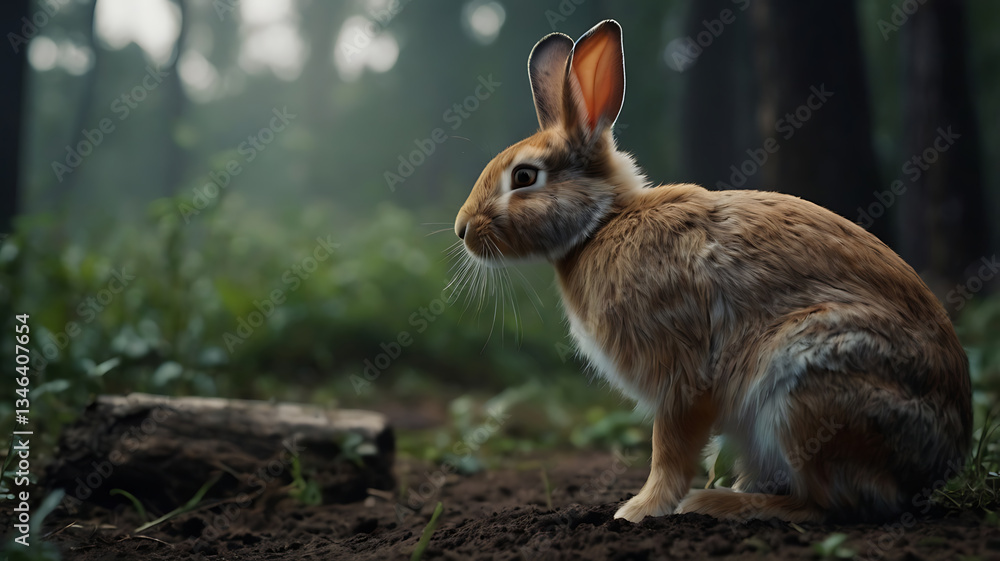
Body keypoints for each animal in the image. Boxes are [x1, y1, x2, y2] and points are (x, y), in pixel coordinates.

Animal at [453, 19, 972, 523]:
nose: (461, 229)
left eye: (524, 177)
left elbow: (670, 449)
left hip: (806, 387)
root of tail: (940, 460)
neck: (602, 223)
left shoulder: (681, 374)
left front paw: (639, 511)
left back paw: (719, 504)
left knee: (834, 503)